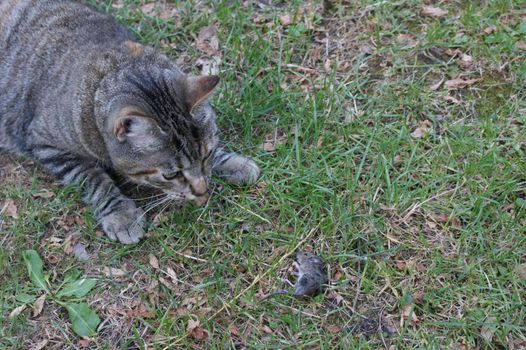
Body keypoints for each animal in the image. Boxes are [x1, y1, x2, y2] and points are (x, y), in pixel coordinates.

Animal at [0, 0, 262, 245]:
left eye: (206, 155)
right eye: (171, 175)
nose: (202, 192)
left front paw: (232, 163)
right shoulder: (44, 143)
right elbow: (93, 179)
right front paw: (122, 215)